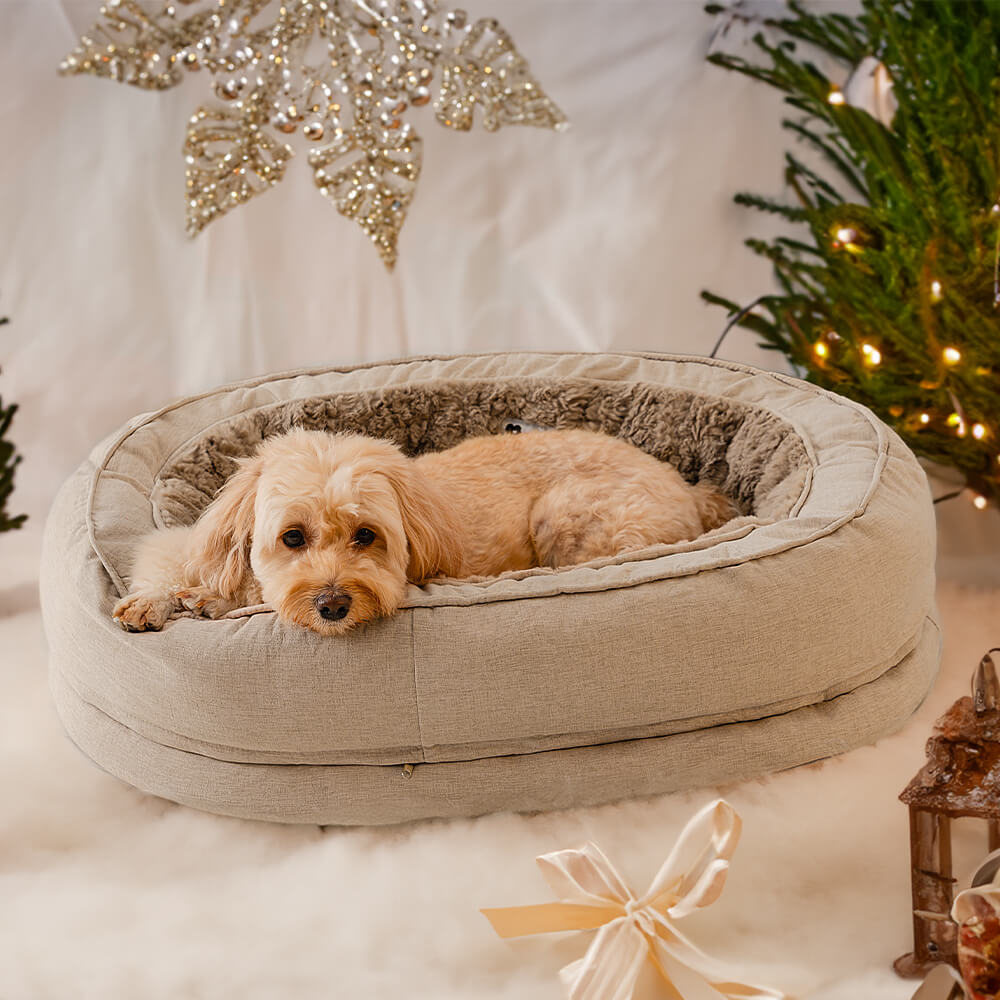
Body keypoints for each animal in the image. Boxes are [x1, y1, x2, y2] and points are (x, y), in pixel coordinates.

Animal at [113, 428, 740, 632]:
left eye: (366, 535)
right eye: (292, 538)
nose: (333, 606)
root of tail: (689, 490)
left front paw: (208, 603)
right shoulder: (189, 543)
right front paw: (156, 601)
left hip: (569, 512)